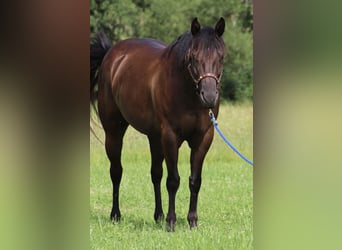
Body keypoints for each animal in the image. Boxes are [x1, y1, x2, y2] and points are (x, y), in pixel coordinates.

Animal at [89, 17, 226, 231]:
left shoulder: (203, 138)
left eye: (221, 57)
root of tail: (111, 54)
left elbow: (194, 180)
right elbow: (173, 180)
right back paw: (116, 215)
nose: (210, 96)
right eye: (193, 57)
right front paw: (171, 222)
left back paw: (158, 215)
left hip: (154, 138)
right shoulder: (170, 136)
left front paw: (192, 221)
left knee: (155, 174)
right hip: (113, 131)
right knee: (116, 171)